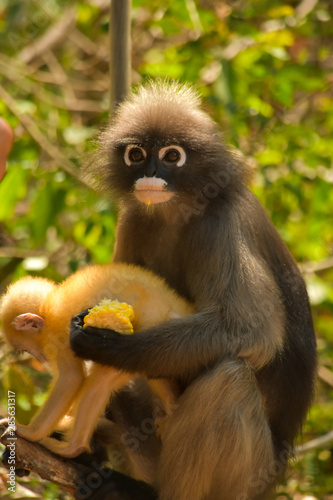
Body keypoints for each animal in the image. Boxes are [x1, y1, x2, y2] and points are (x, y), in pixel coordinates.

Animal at [0, 264, 192, 458]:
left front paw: (30, 432)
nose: (40, 358)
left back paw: (73, 448)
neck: (48, 308)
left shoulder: (59, 331)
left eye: (25, 349)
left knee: (101, 380)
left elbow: (71, 378)